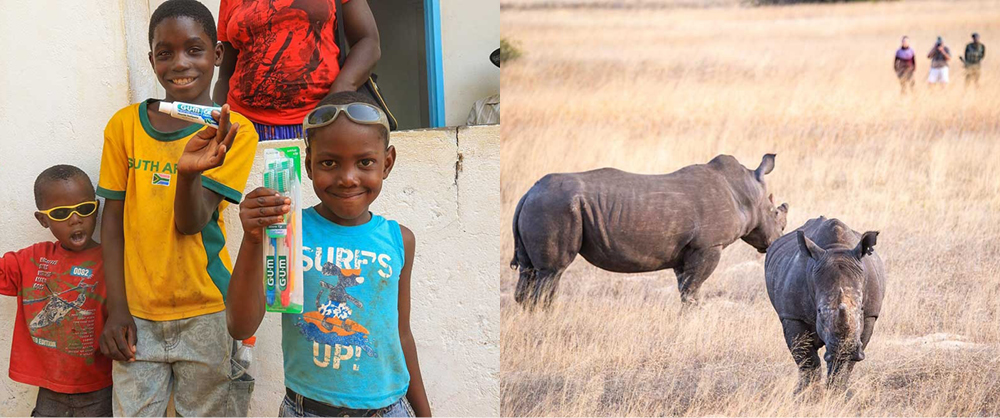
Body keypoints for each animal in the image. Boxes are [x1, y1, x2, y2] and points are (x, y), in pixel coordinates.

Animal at [511, 154, 789, 308]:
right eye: (777, 215)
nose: (775, 242)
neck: (747, 192)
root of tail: (528, 192)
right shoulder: (708, 246)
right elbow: (693, 290)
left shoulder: (686, 251)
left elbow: (686, 289)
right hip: (554, 207)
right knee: (552, 272)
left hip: (540, 205)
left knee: (529, 271)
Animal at [764, 216, 884, 393]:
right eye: (819, 311)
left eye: (861, 308)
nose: (845, 349)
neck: (836, 248)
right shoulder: (792, 316)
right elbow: (807, 359)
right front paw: (806, 394)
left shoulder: (870, 315)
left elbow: (844, 366)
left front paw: (837, 393)